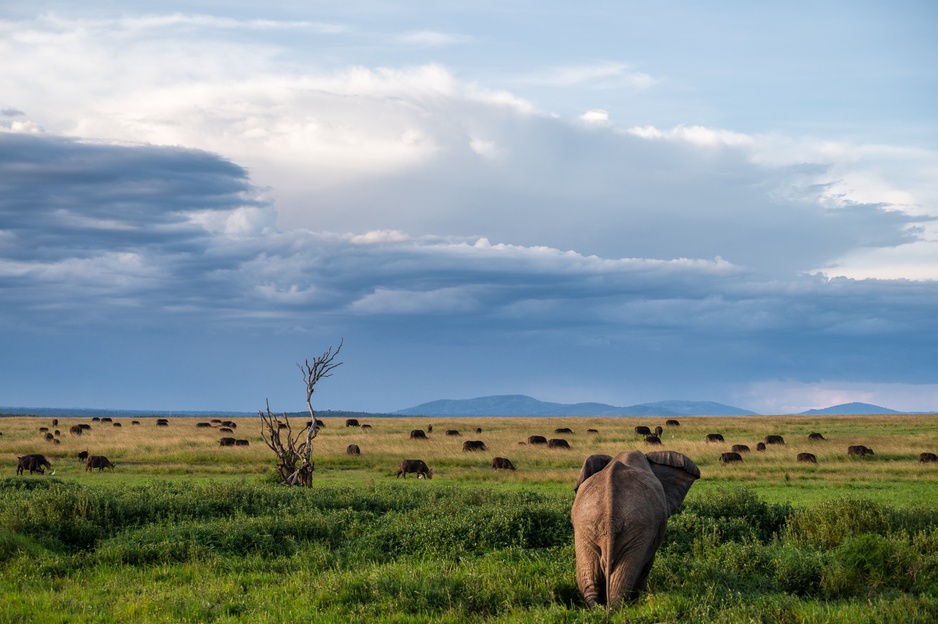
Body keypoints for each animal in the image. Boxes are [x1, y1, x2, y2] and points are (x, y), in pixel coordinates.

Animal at [571, 450, 700, 609]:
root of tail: (610, 518)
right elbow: (647, 563)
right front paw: (641, 598)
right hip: (633, 530)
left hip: (588, 528)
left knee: (593, 579)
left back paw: (600, 608)